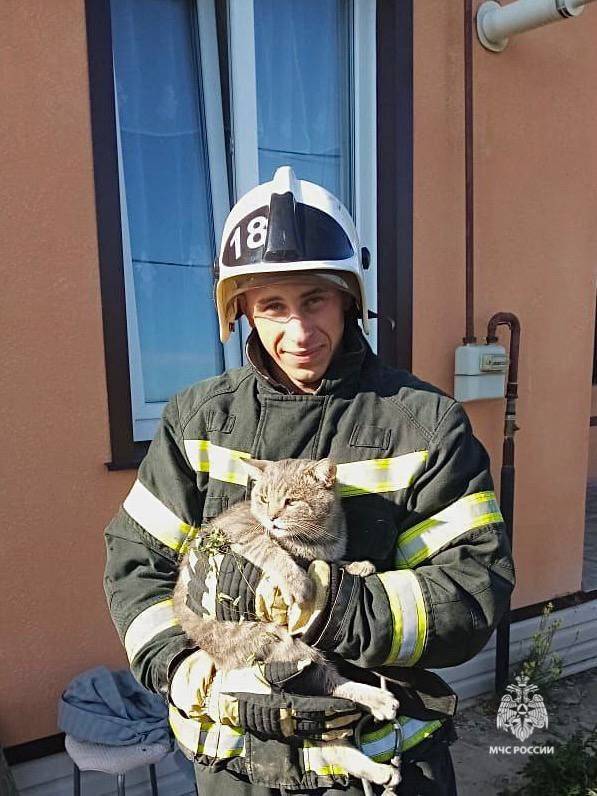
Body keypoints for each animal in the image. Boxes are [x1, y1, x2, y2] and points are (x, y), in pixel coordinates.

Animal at [175, 458, 402, 792]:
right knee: (332, 686)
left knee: (333, 740)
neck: (314, 541)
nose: (271, 518)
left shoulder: (323, 555)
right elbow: (274, 553)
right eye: (263, 498)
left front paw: (357, 566)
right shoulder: (245, 536)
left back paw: (380, 770)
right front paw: (298, 582)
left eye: (291, 501)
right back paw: (378, 700)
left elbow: (334, 563)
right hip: (285, 648)